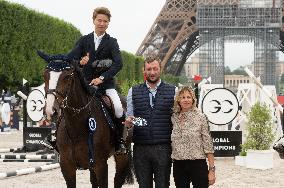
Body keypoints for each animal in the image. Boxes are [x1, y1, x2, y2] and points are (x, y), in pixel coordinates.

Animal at [38, 50, 134, 187]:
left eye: (67, 76)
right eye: (45, 75)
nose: (51, 111)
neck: (76, 128)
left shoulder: (101, 165)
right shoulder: (67, 166)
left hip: (122, 156)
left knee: (118, 179)